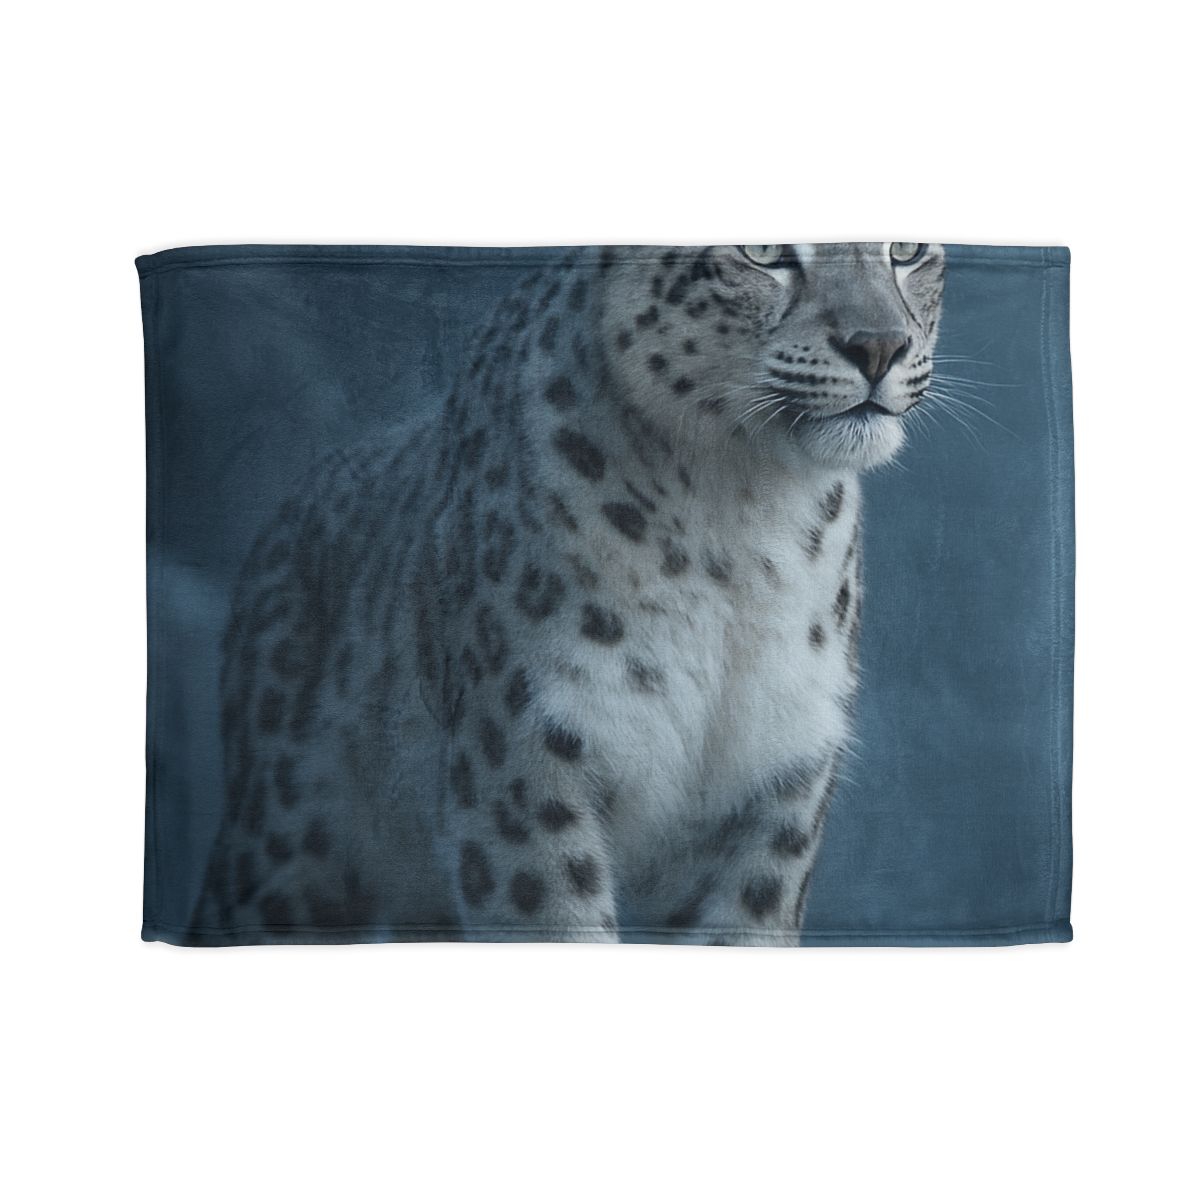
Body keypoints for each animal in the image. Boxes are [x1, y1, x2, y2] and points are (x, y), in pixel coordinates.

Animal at [187, 242, 946, 945]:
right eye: (760, 252)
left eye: (905, 250)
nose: (880, 346)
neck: (746, 520)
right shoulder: (524, 763)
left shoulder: (775, 788)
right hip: (285, 848)